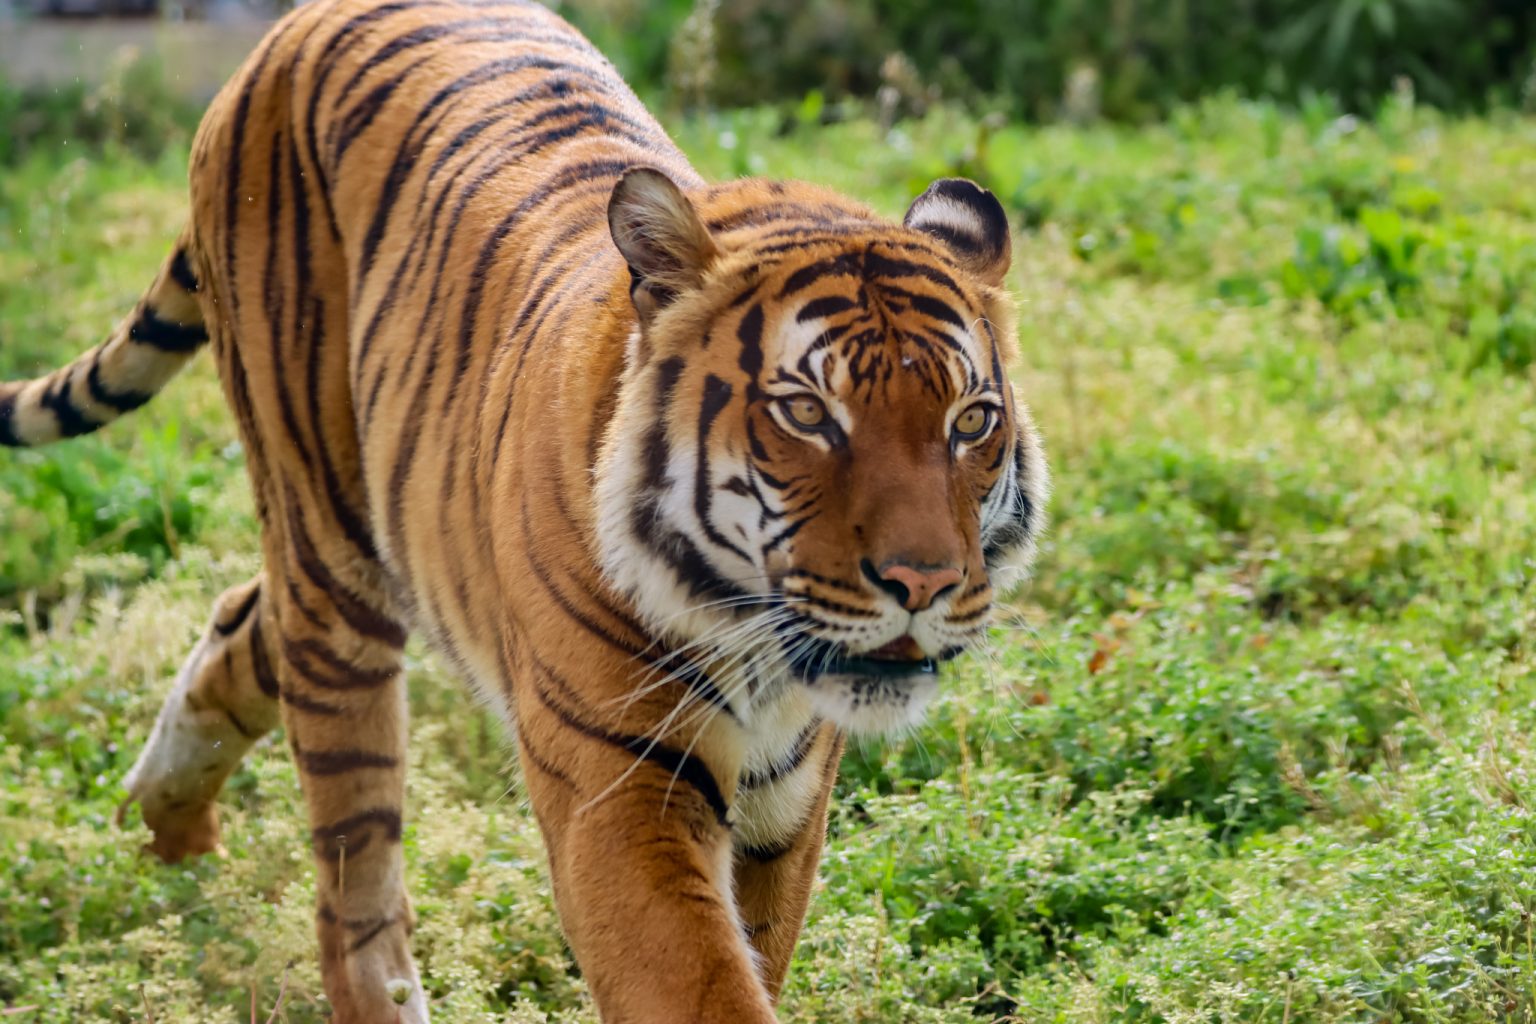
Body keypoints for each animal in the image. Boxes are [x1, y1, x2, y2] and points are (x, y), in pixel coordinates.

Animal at [0, 0, 1050, 1019]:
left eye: (970, 421)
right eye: (806, 415)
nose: (925, 584)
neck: (755, 647)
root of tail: (293, 24)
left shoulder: (785, 810)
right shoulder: (619, 796)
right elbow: (699, 986)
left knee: (236, 623)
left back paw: (168, 834)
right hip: (333, 557)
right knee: (352, 873)